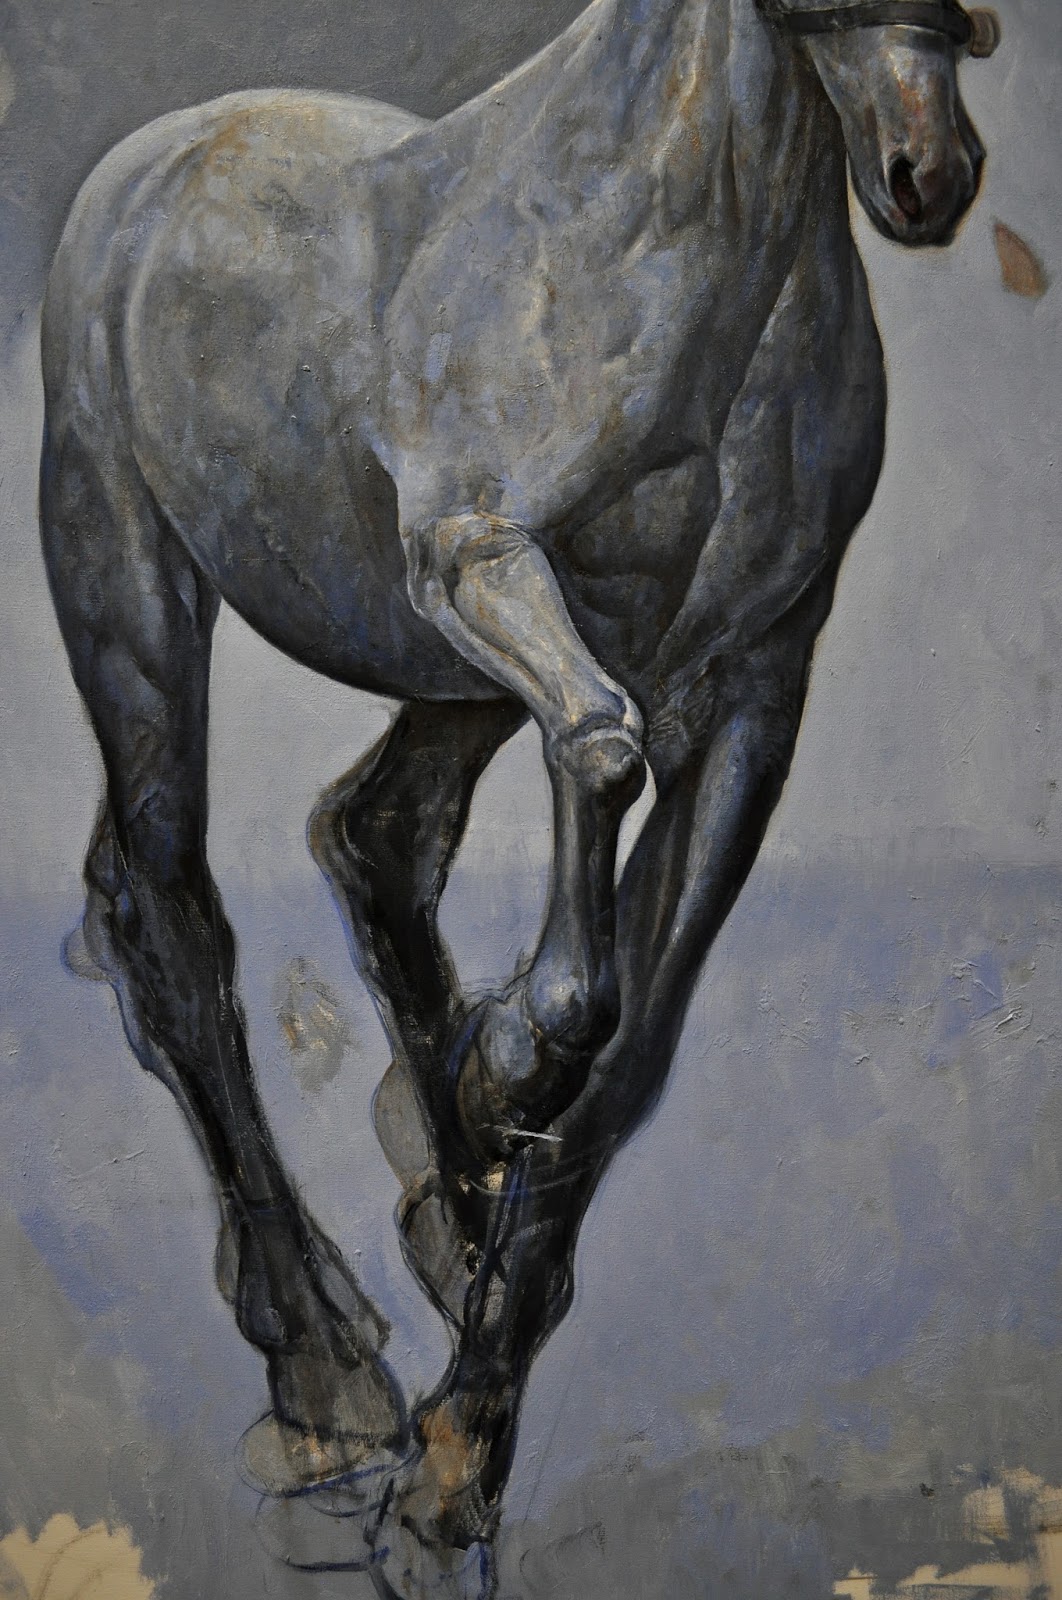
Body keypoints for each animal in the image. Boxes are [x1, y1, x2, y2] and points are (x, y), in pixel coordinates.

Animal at [38, 0, 997, 1591]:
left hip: (439, 679)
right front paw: (510, 1071)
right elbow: (600, 764)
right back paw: (324, 1372)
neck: (662, 256)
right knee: (171, 913)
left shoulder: (756, 687)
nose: (929, 172)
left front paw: (455, 1468)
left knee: (368, 835)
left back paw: (440, 1207)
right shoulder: (487, 566)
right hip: (135, 592)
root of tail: (148, 168)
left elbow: (631, 1056)